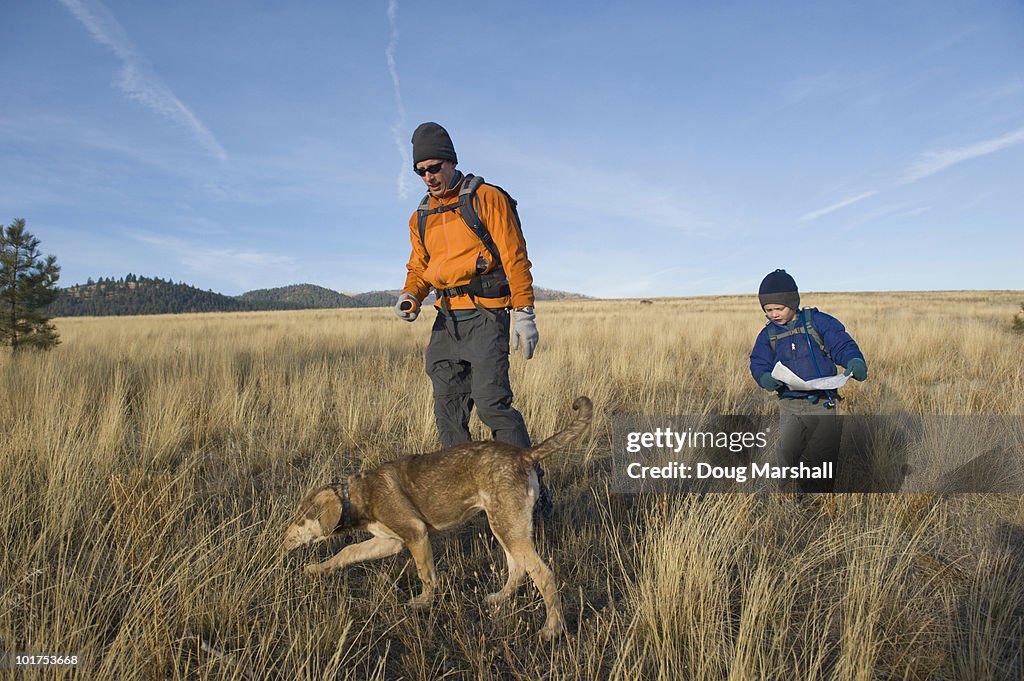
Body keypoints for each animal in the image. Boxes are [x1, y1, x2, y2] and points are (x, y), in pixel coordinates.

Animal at [284, 393, 598, 639]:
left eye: (300, 518)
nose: (283, 539)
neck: (358, 495)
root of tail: (523, 455)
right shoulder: (389, 541)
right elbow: (347, 552)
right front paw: (317, 569)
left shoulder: (416, 533)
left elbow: (426, 575)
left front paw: (423, 602)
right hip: (505, 525)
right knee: (518, 568)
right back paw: (500, 598)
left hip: (507, 526)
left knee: (543, 574)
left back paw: (552, 628)